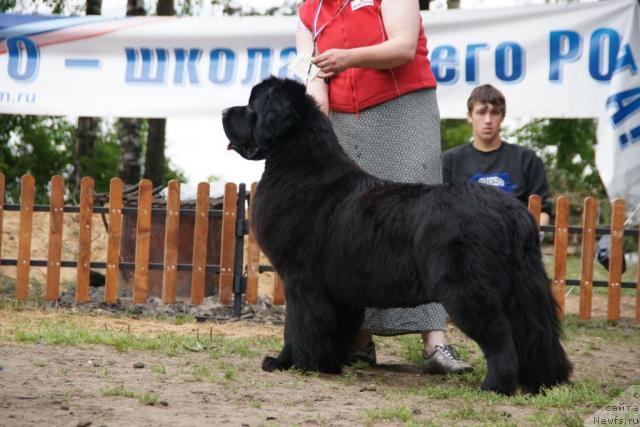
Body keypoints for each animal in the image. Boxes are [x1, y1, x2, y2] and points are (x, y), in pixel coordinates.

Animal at [222, 77, 572, 398]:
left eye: (252, 106)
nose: (225, 110)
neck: (301, 166)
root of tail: (512, 212)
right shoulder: (340, 290)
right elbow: (336, 327)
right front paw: (328, 365)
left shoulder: (301, 280)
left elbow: (298, 325)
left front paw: (287, 362)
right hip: (522, 289)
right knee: (536, 333)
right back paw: (545, 382)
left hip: (466, 289)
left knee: (502, 338)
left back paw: (494, 386)